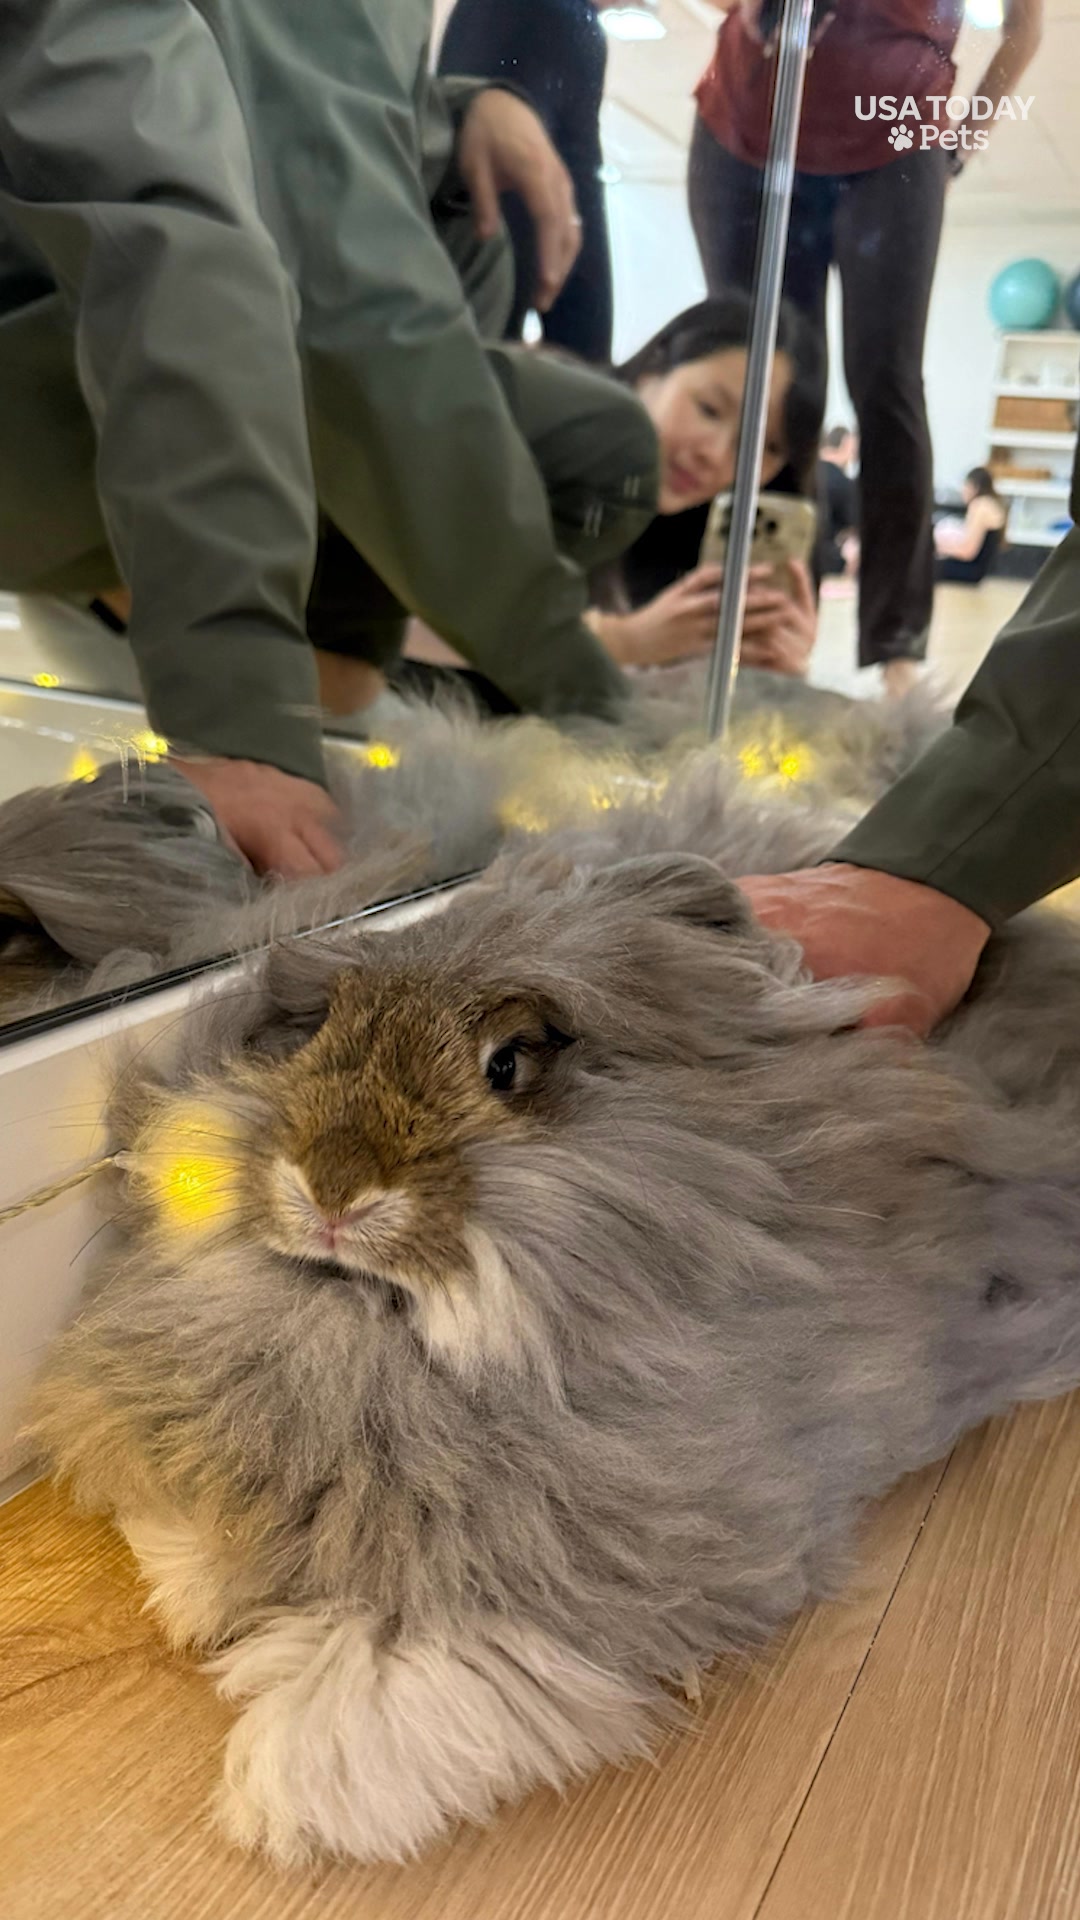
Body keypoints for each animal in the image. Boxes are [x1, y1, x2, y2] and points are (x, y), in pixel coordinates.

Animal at [27, 753, 1080, 1870]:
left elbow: (433, 1663)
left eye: (511, 1063)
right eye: (320, 1031)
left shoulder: (621, 1544)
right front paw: (193, 1590)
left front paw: (288, 1794)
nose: (332, 1189)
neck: (373, 1330)